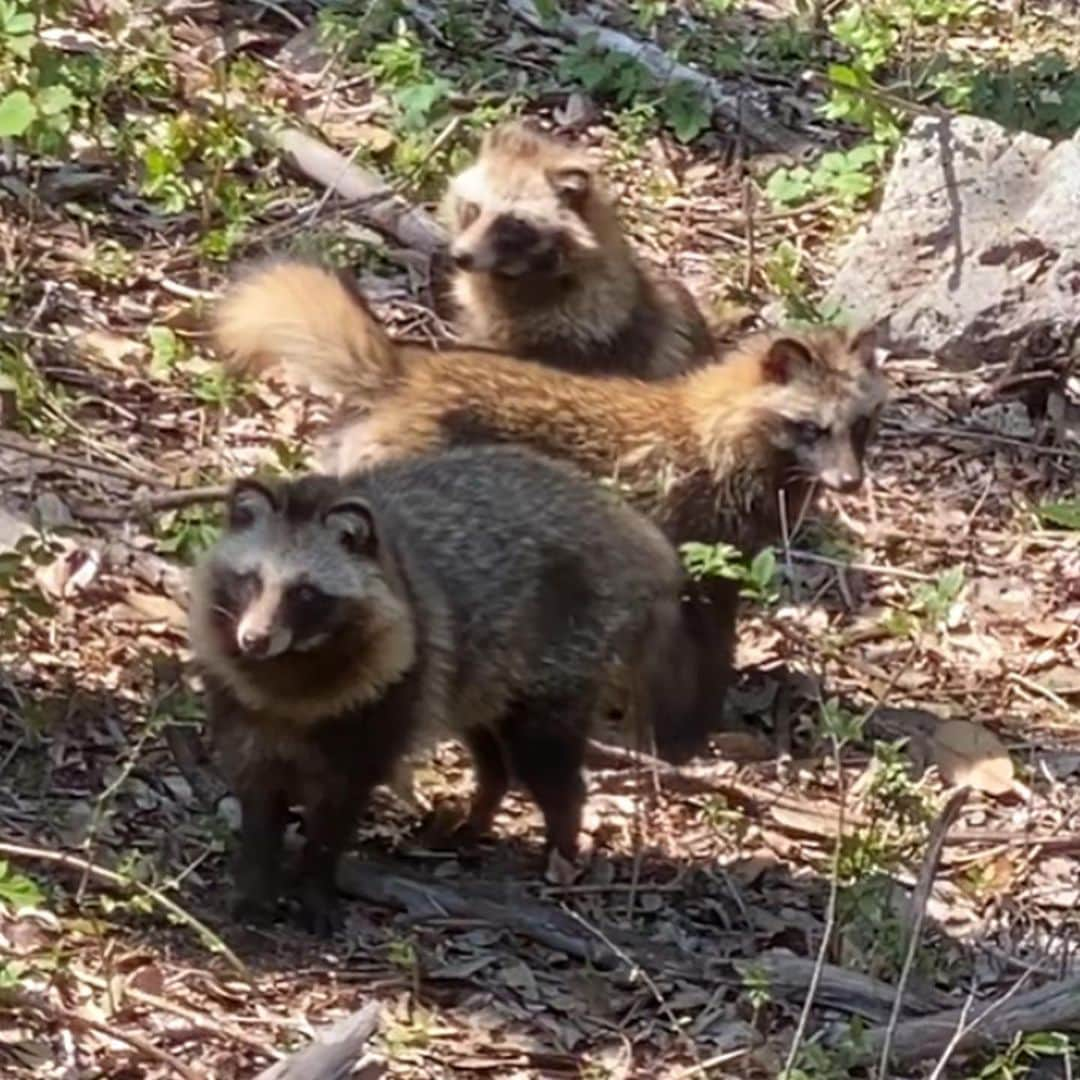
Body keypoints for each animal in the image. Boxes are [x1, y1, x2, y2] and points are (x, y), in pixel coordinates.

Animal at [189, 442, 695, 933]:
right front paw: (256, 883)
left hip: (566, 649)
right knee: (491, 750)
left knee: (546, 758)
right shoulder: (242, 703)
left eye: (304, 593)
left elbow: (338, 809)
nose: (254, 640)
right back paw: (478, 816)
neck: (293, 662)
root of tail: (620, 522)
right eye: (251, 581)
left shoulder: (383, 698)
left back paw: (561, 844)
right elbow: (258, 798)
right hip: (484, 671)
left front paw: (315, 885)